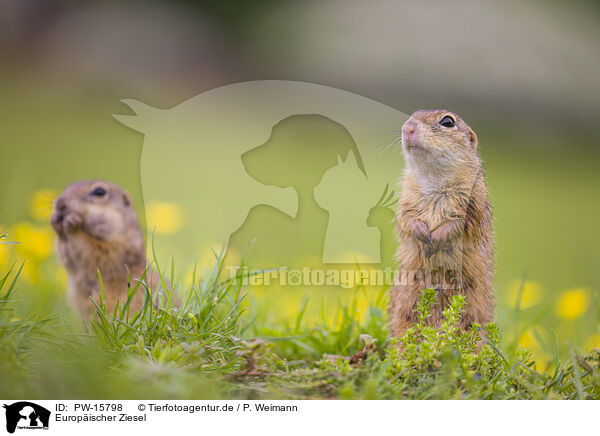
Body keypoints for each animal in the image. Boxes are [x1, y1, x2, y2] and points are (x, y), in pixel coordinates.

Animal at [51, 179, 162, 318]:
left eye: (99, 191)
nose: (59, 203)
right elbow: (66, 256)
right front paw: (55, 221)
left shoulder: (116, 247)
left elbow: (93, 250)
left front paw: (72, 223)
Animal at [392, 109, 494, 338]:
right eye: (413, 114)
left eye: (447, 122)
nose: (407, 128)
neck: (434, 177)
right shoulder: (406, 197)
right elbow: (405, 218)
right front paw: (421, 231)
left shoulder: (474, 202)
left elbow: (462, 223)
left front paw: (436, 237)